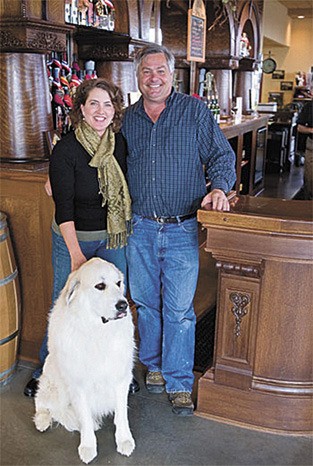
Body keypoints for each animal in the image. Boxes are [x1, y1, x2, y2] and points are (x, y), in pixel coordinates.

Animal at [33, 256, 135, 464]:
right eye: (100, 286)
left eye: (118, 283)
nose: (123, 305)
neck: (98, 332)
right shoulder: (79, 385)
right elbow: (86, 419)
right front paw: (88, 447)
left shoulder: (121, 379)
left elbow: (122, 415)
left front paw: (124, 440)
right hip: (54, 384)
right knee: (43, 403)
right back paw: (42, 420)